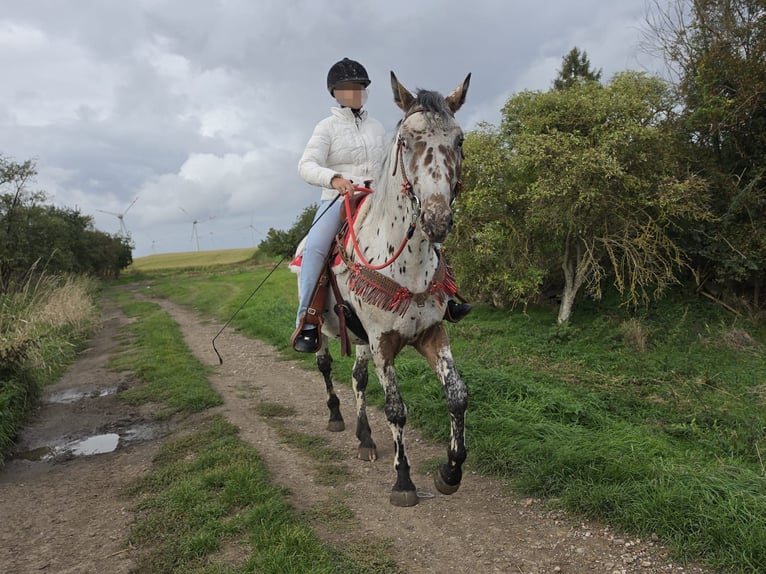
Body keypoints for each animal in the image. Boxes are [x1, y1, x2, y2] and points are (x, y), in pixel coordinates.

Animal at [298, 71, 471, 507]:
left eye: (459, 140)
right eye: (405, 140)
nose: (436, 219)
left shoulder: (431, 332)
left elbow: (457, 395)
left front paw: (450, 471)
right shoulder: (383, 341)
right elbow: (396, 409)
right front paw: (404, 481)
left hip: (358, 337)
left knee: (357, 378)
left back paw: (365, 440)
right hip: (323, 328)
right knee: (325, 365)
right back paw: (336, 416)